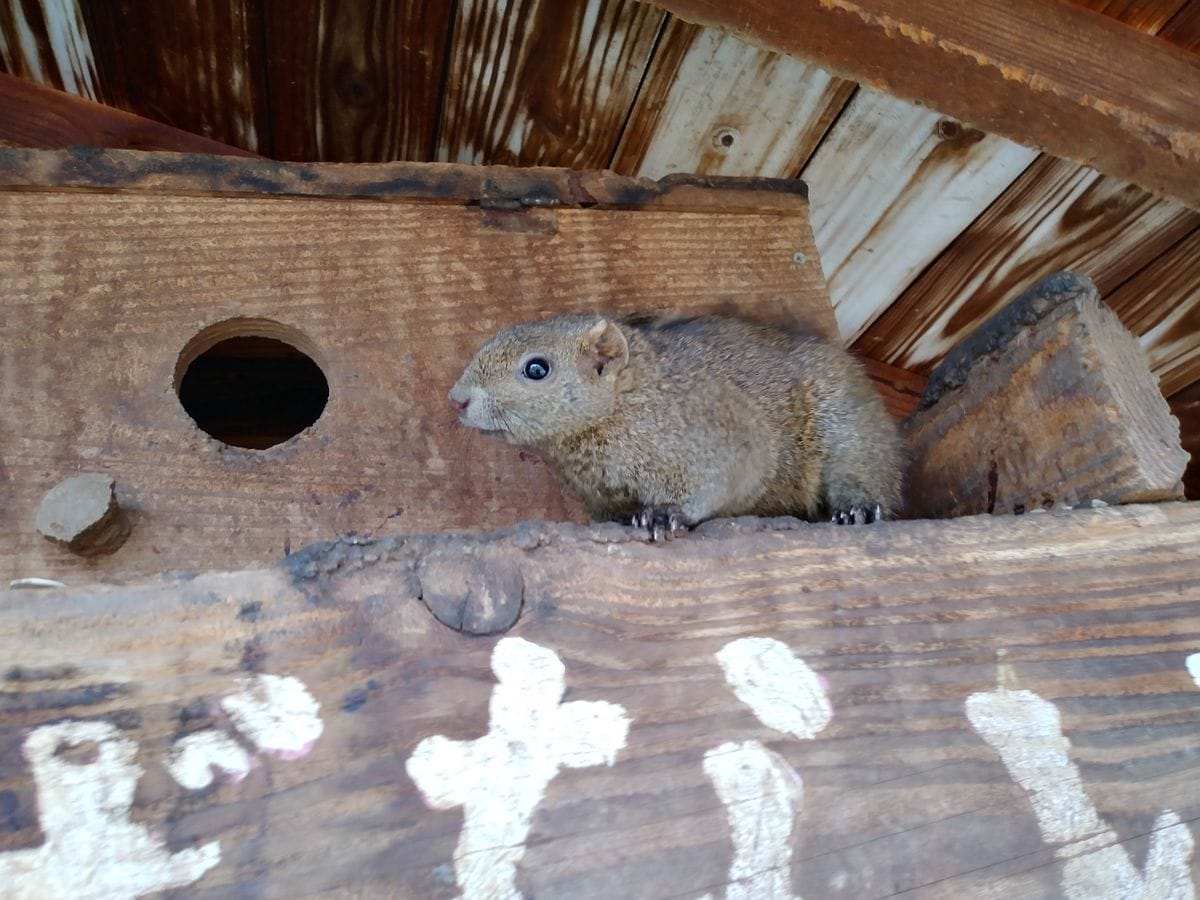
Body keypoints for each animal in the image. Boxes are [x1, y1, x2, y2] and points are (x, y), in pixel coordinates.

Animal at [451, 314, 902, 542]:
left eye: (536, 369)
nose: (457, 399)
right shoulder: (602, 498)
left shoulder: (721, 439)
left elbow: (713, 484)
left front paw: (665, 514)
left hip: (850, 429)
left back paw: (858, 508)